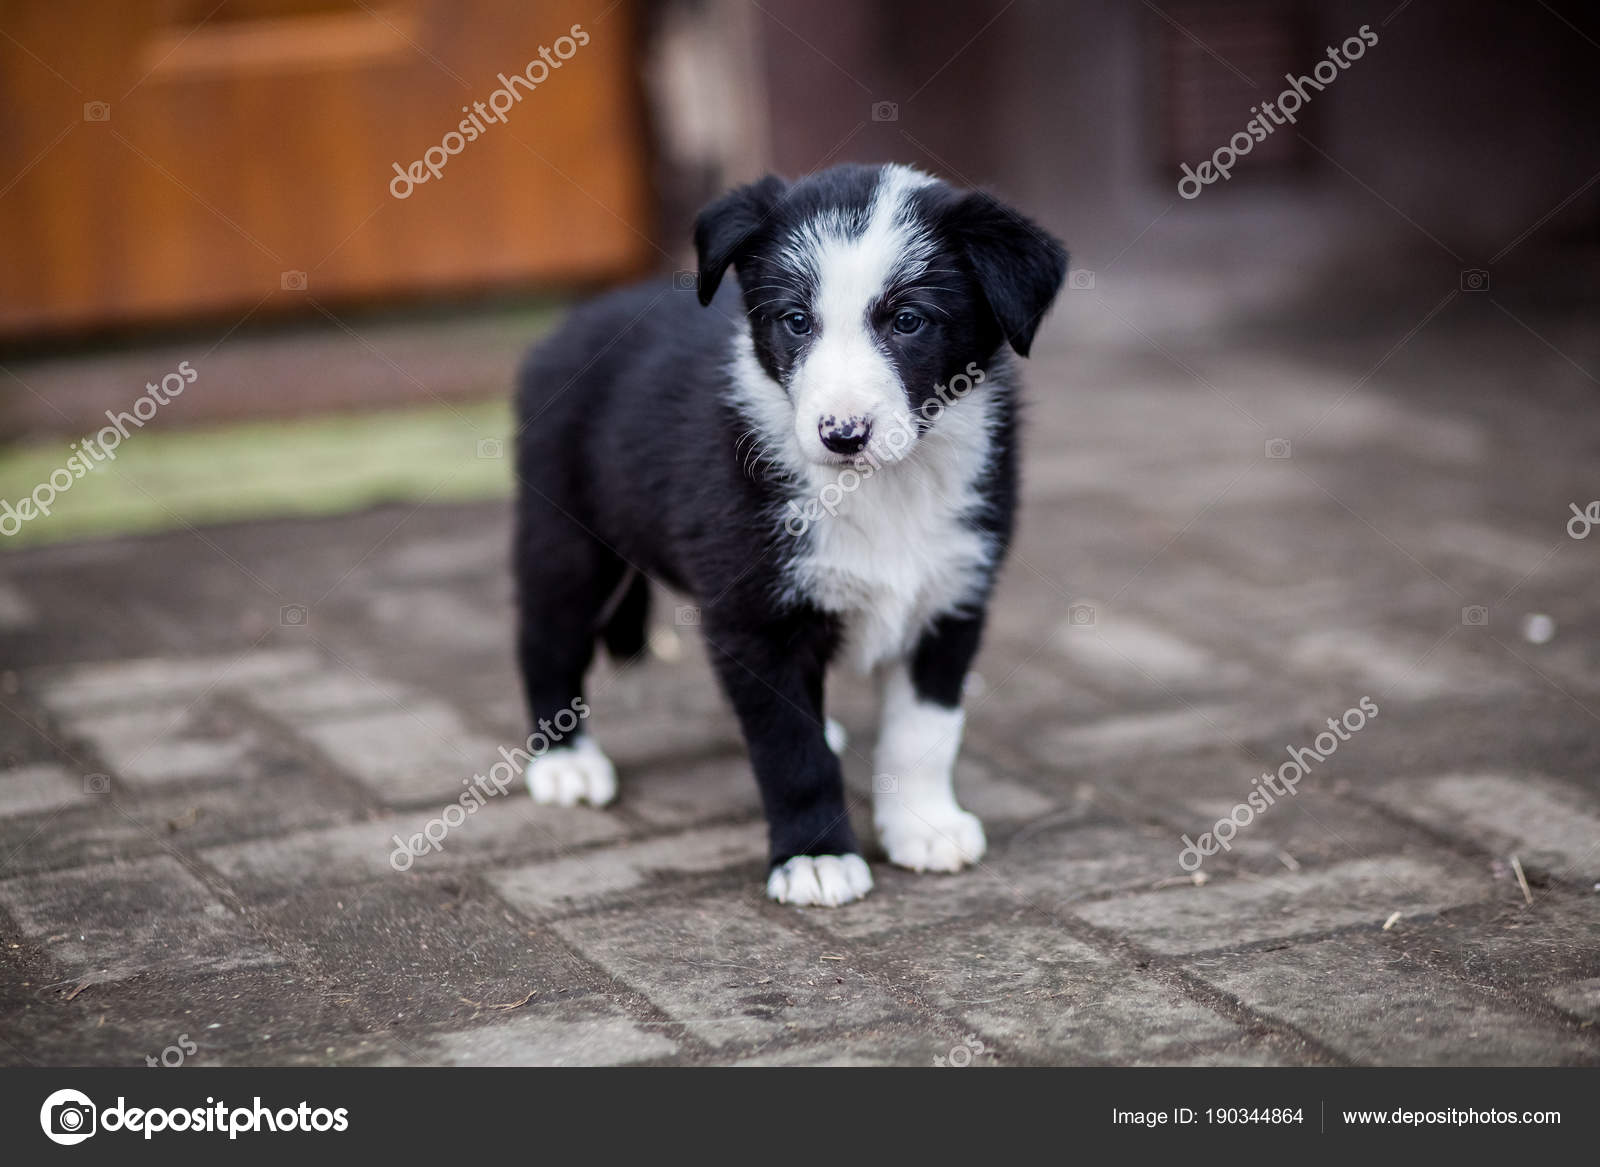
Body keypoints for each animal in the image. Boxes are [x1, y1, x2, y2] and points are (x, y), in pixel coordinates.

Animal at [512, 164, 1062, 902]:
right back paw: (564, 762)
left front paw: (925, 826)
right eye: (797, 321)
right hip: (565, 538)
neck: (880, 488)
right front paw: (816, 857)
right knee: (546, 640)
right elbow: (789, 750)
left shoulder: (953, 596)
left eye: (910, 321)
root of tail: (572, 322)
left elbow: (924, 732)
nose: (842, 433)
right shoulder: (755, 618)